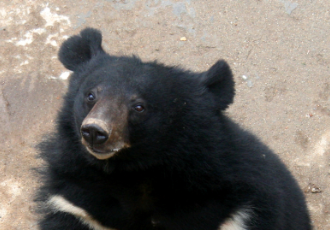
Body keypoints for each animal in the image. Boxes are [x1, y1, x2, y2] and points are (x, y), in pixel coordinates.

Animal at [36, 28, 312, 230]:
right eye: (91, 95)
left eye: (139, 106)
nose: (95, 132)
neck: (135, 170)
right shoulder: (75, 202)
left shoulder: (238, 205)